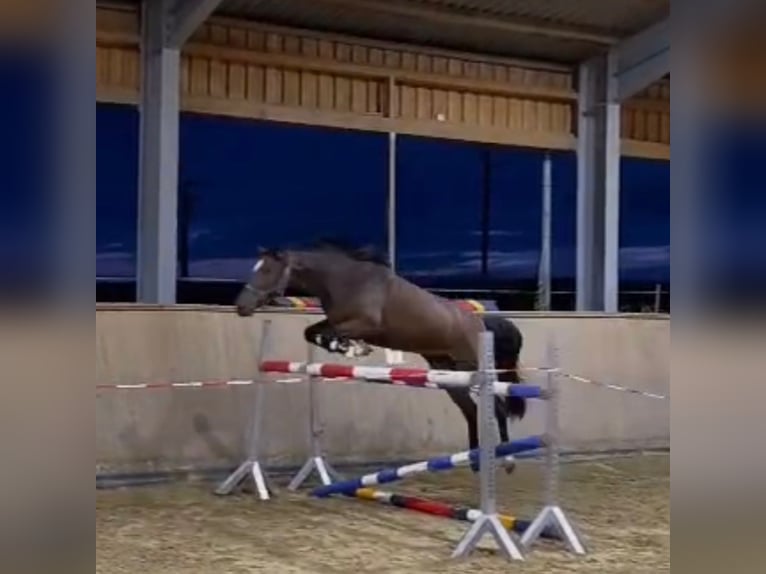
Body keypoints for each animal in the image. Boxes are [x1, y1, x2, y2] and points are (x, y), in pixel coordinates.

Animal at [234, 243, 527, 471]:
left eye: (267, 270)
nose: (241, 306)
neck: (344, 280)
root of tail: (479, 323)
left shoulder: (365, 325)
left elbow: (333, 332)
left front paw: (352, 347)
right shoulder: (335, 321)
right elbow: (312, 332)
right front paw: (345, 347)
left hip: (474, 368)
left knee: (497, 408)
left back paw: (508, 460)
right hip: (448, 374)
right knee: (470, 411)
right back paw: (475, 461)